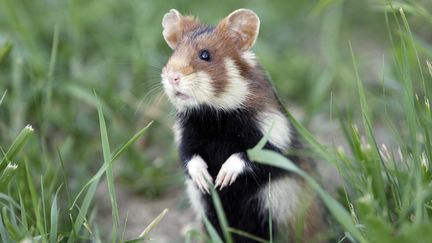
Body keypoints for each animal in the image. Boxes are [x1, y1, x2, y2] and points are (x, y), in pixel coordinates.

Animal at [160, 8, 326, 242]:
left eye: (205, 55)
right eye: (173, 53)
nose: (172, 77)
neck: (213, 116)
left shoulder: (275, 136)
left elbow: (248, 156)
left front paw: (222, 179)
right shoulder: (186, 136)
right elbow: (189, 158)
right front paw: (206, 181)